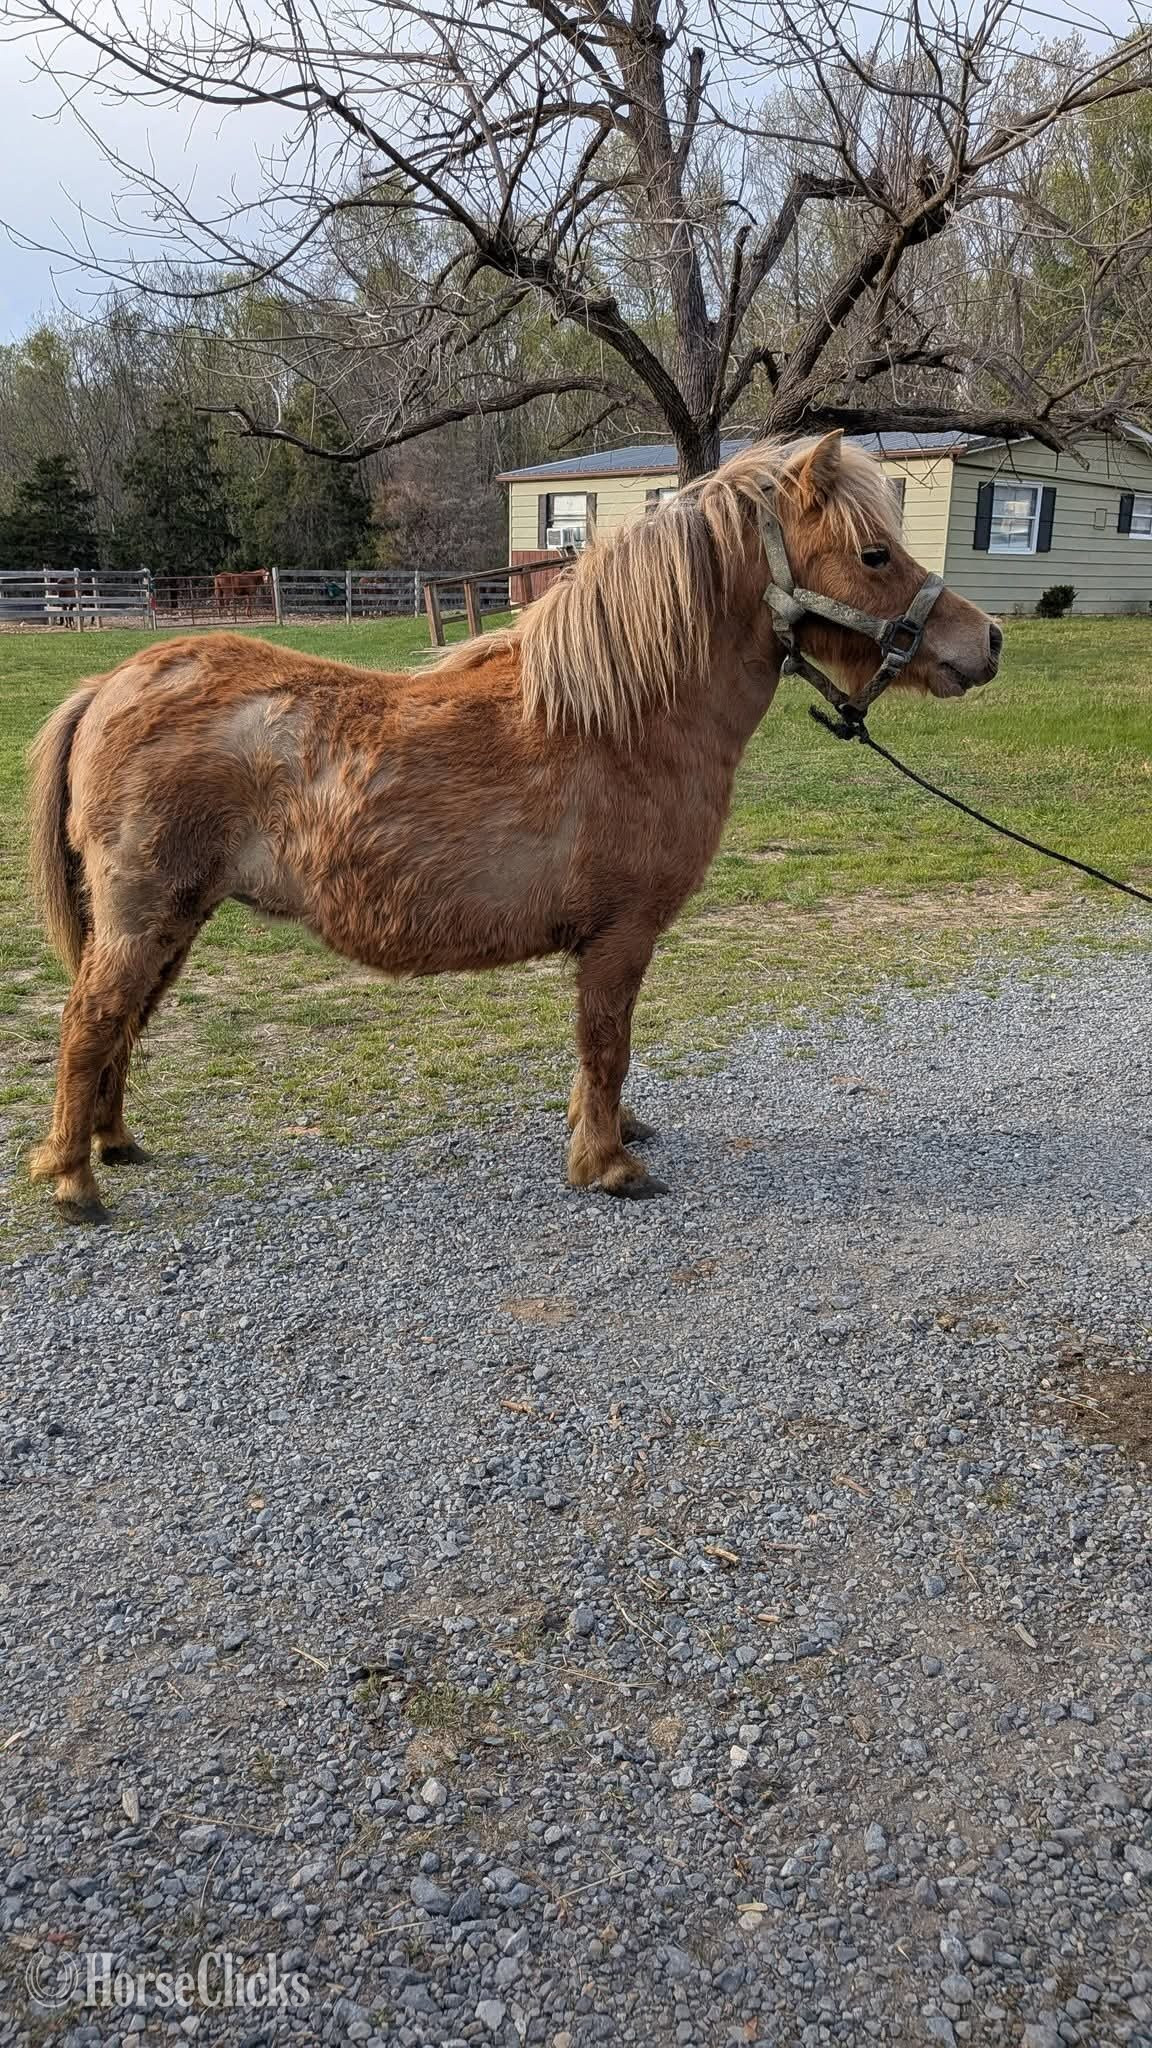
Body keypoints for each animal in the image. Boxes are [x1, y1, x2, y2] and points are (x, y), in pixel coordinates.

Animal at [26, 433, 1000, 1223]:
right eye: (874, 553)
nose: (987, 640)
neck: (624, 719)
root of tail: (112, 683)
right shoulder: (621, 937)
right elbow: (607, 1045)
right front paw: (607, 1164)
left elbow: (599, 1053)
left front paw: (610, 1135)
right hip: (144, 916)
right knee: (89, 1023)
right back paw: (74, 1181)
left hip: (175, 919)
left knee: (120, 1024)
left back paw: (113, 1144)